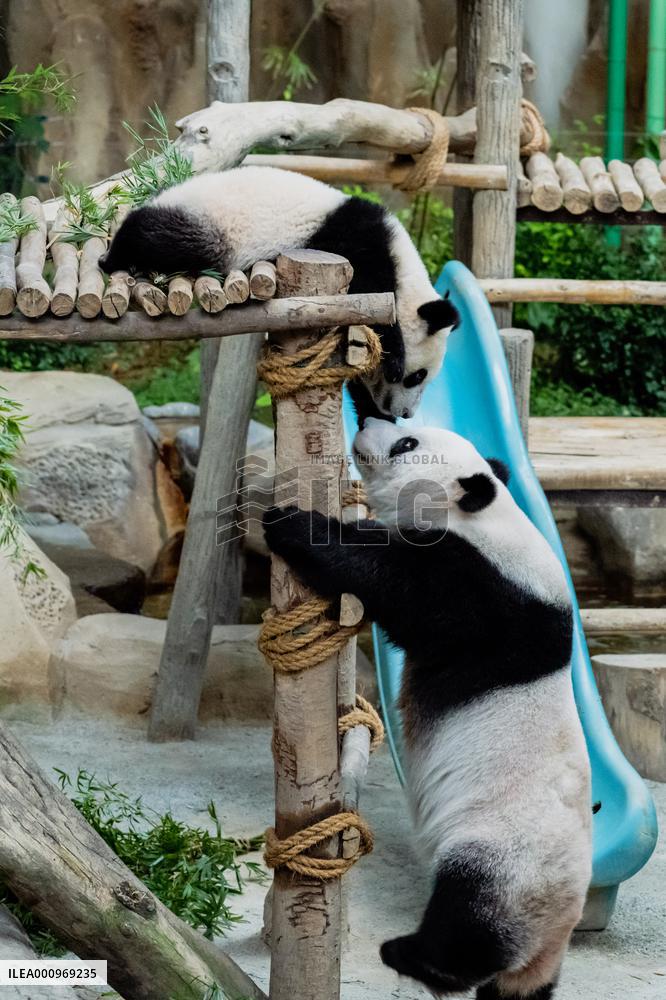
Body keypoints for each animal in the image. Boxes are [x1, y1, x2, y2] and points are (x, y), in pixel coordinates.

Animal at [99, 166, 459, 422]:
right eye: (417, 377)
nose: (406, 414)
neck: (403, 265)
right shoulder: (356, 243)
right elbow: (375, 302)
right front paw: (394, 356)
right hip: (205, 222)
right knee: (158, 236)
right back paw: (113, 258)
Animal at [262, 418, 592, 1000]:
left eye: (407, 445)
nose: (371, 422)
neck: (485, 515)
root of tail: (558, 930)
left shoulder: (485, 593)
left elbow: (394, 582)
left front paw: (291, 525)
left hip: (508, 857)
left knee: (469, 911)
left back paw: (414, 958)